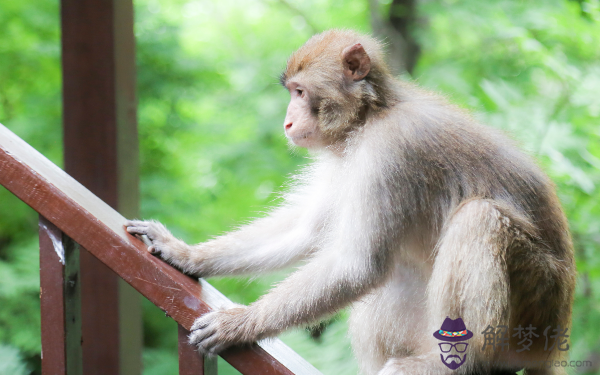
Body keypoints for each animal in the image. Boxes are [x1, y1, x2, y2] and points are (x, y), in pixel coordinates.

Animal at [126, 30, 576, 375]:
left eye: (301, 92)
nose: (288, 122)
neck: (369, 117)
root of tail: (554, 339)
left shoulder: (391, 153)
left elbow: (357, 264)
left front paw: (242, 322)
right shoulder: (345, 162)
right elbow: (306, 232)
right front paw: (185, 254)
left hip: (537, 306)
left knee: (479, 218)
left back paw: (461, 363)